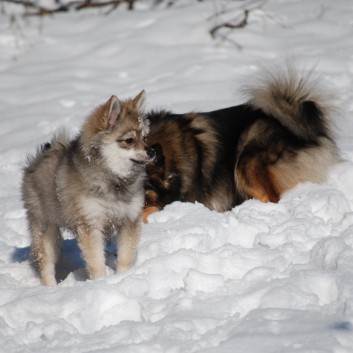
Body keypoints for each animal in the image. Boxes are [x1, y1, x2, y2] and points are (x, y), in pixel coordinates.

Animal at [20, 90, 150, 284]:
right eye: (129, 140)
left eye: (145, 138)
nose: (153, 151)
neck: (114, 179)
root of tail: (40, 158)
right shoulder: (90, 224)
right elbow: (96, 262)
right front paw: (101, 283)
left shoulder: (129, 220)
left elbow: (125, 258)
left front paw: (122, 278)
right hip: (46, 227)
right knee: (46, 264)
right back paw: (51, 288)